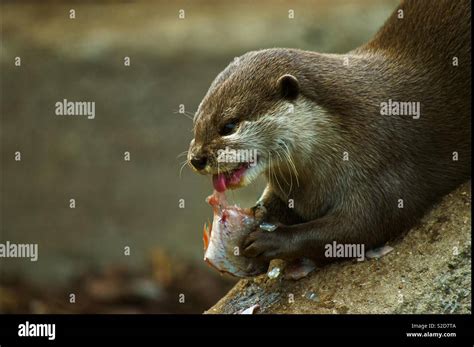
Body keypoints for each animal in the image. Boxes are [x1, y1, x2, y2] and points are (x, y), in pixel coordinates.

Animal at [187, 0, 468, 266]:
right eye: (196, 123)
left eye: (229, 126)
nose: (196, 158)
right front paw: (259, 214)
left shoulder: (385, 163)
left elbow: (360, 226)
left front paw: (271, 240)